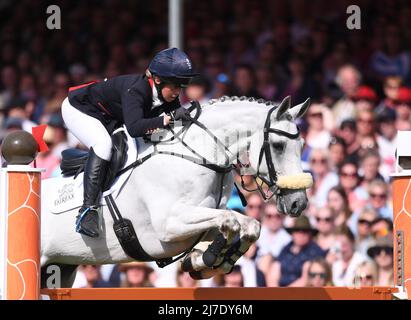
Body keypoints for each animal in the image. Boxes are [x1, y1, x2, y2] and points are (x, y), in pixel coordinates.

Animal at [41, 95, 312, 288]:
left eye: (302, 145)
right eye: (278, 146)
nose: (298, 203)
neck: (198, 156)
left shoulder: (200, 219)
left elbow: (247, 225)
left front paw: (204, 261)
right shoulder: (169, 225)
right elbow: (232, 220)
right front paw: (209, 259)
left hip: (60, 269)